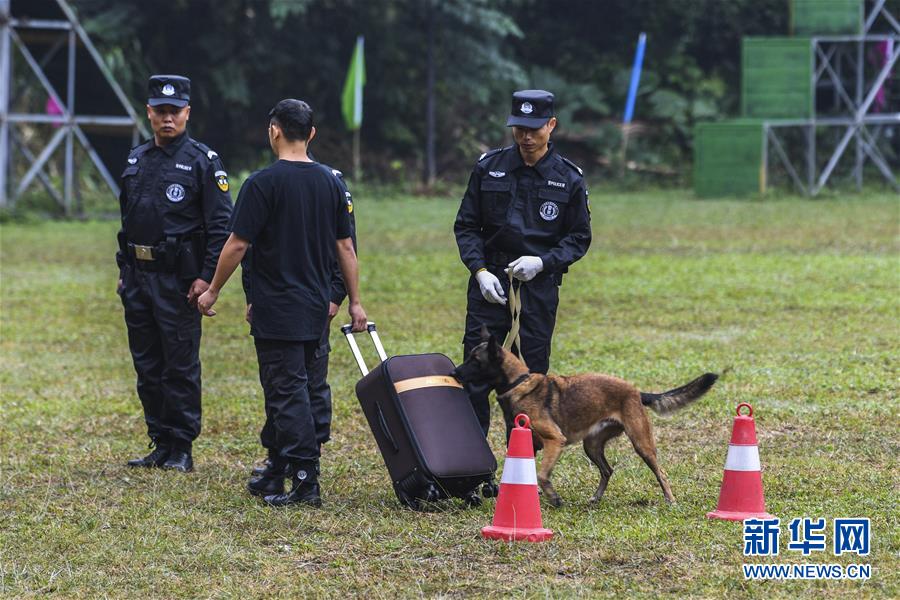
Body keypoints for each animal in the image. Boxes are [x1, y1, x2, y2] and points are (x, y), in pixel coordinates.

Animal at [454, 330, 720, 508]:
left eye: (475, 361)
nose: (455, 372)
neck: (518, 382)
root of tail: (636, 392)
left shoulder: (555, 440)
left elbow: (542, 474)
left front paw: (554, 498)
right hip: (591, 445)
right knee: (607, 470)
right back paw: (596, 497)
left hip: (641, 443)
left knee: (660, 472)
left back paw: (670, 499)